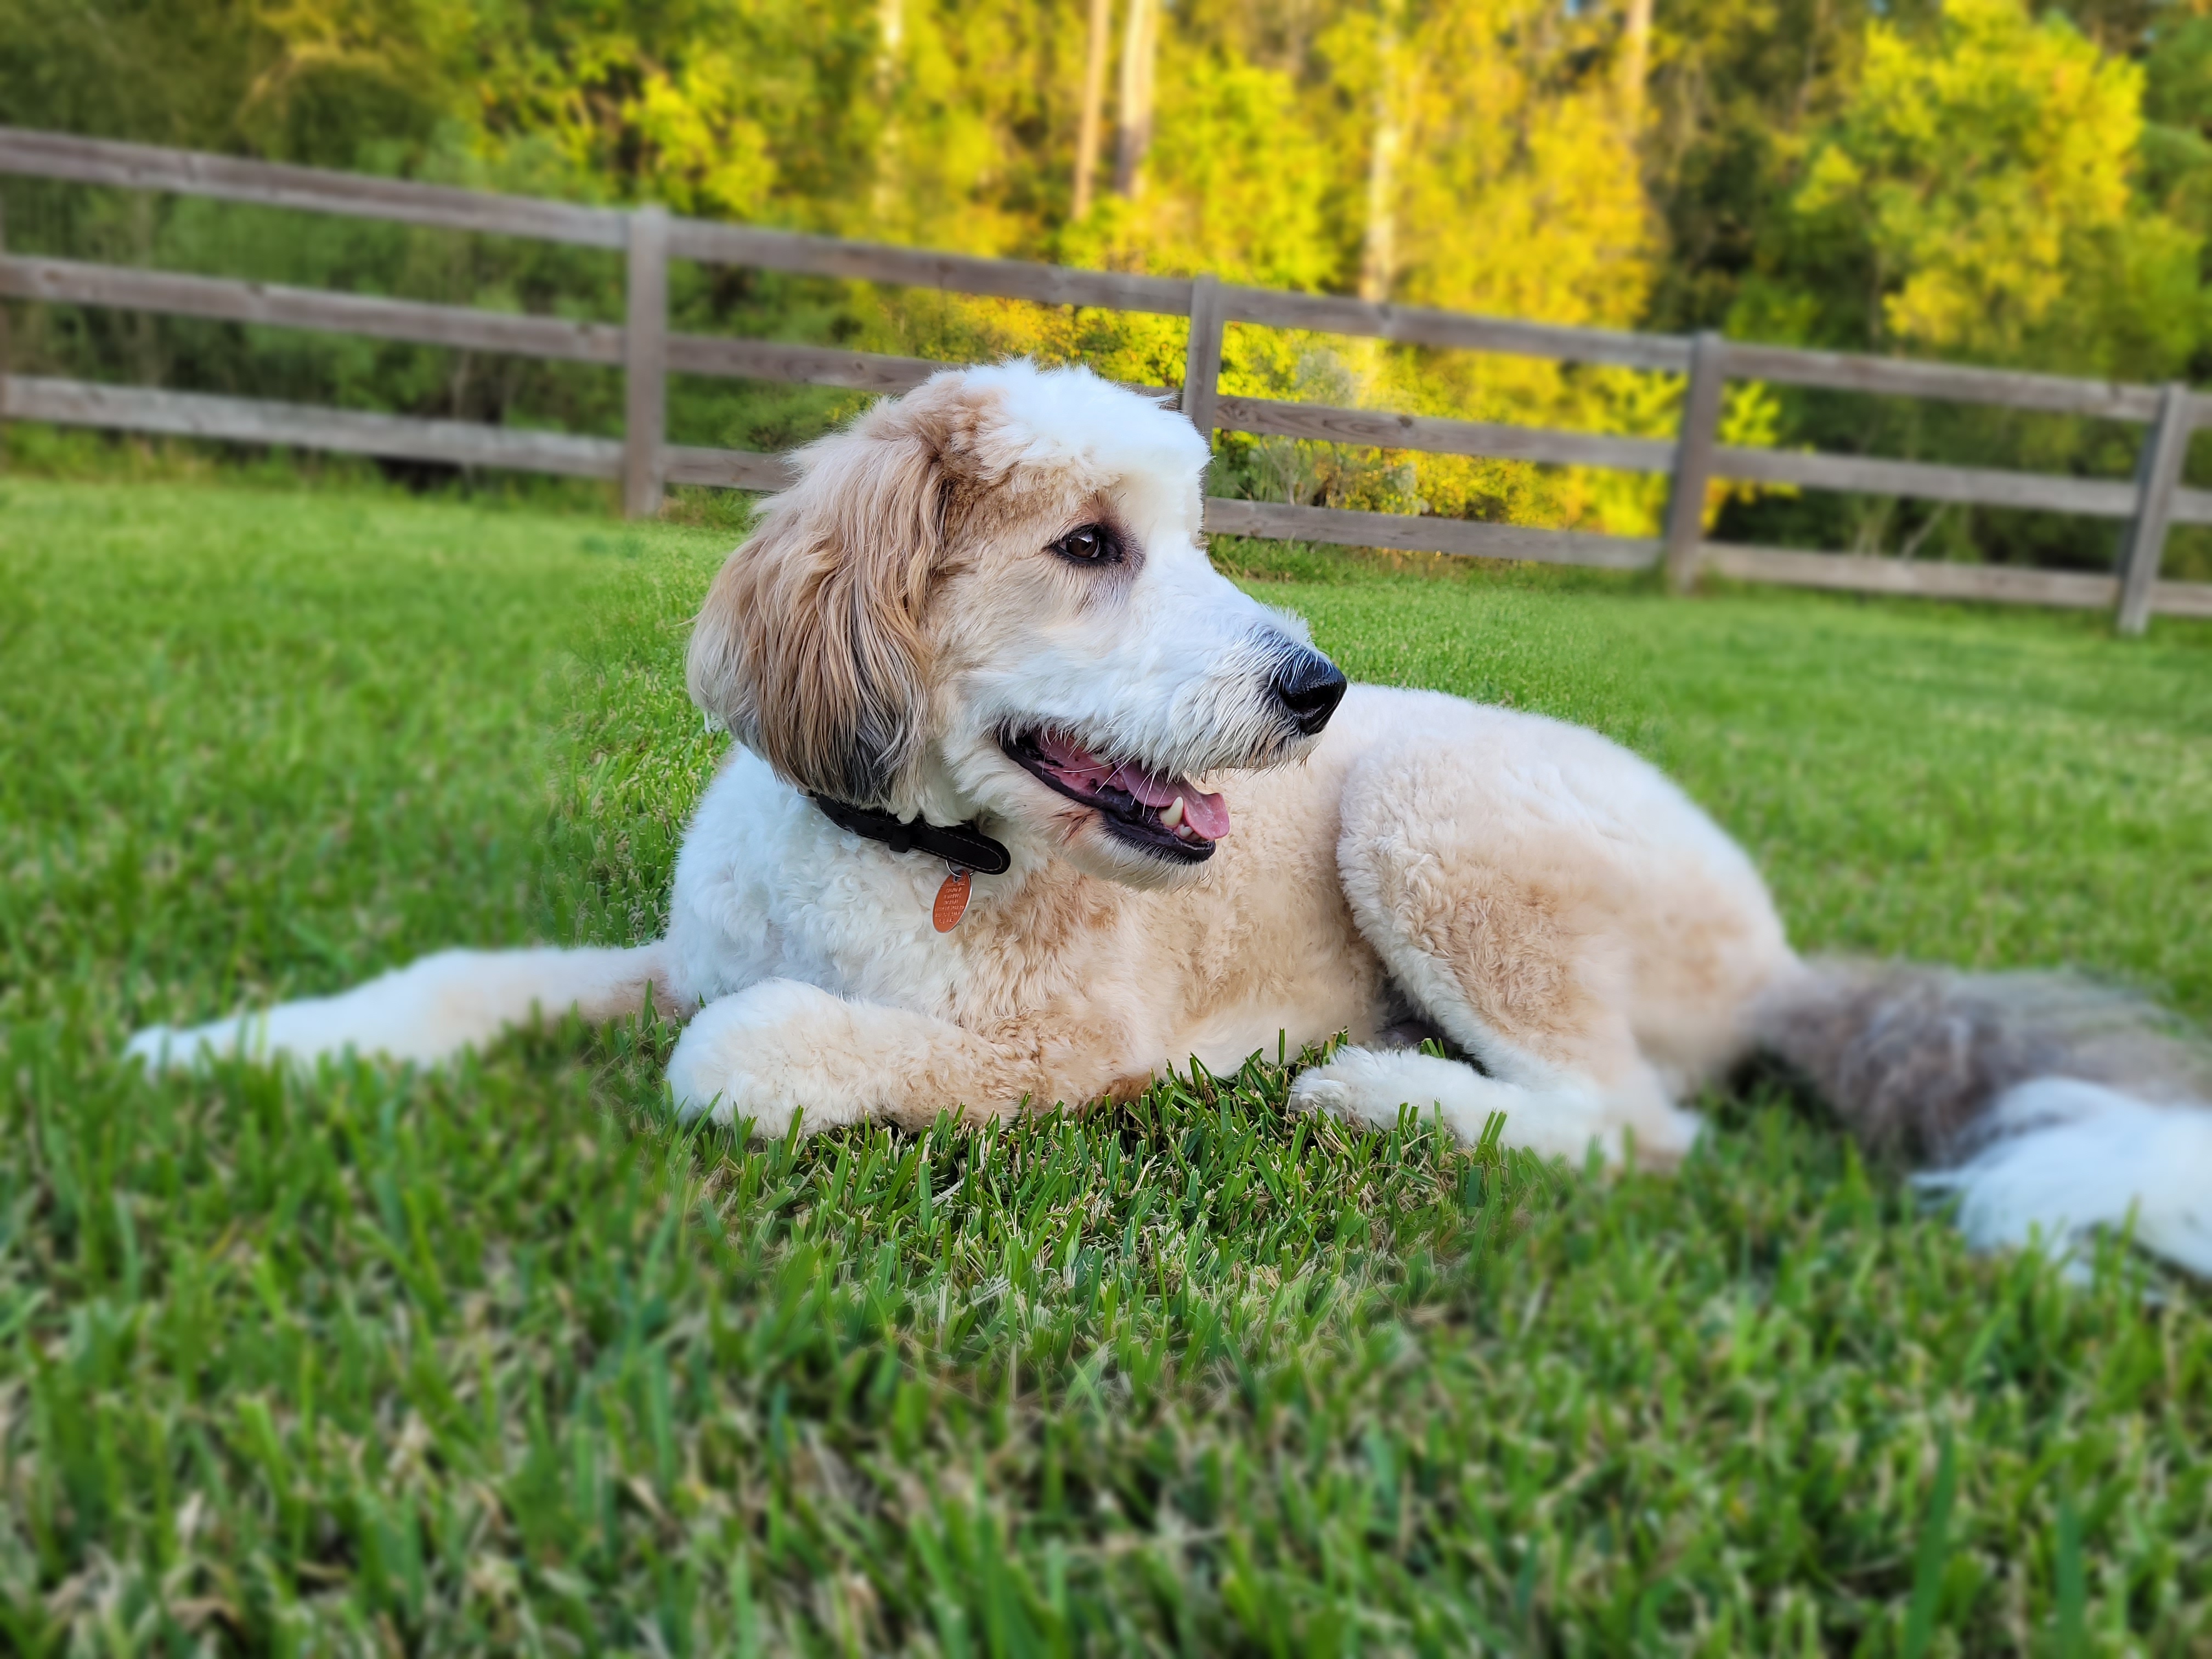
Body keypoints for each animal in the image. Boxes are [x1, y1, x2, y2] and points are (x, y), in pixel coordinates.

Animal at [133, 360, 2212, 1274]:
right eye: (1087, 546)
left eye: (1194, 536)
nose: (1317, 687)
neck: (901, 860)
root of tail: (1783, 951)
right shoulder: (680, 948)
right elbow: (459, 979)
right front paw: (228, 1043)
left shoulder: (1052, 1052)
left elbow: (737, 1057)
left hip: (1440, 817)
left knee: (1634, 1129)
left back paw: (1384, 1093)